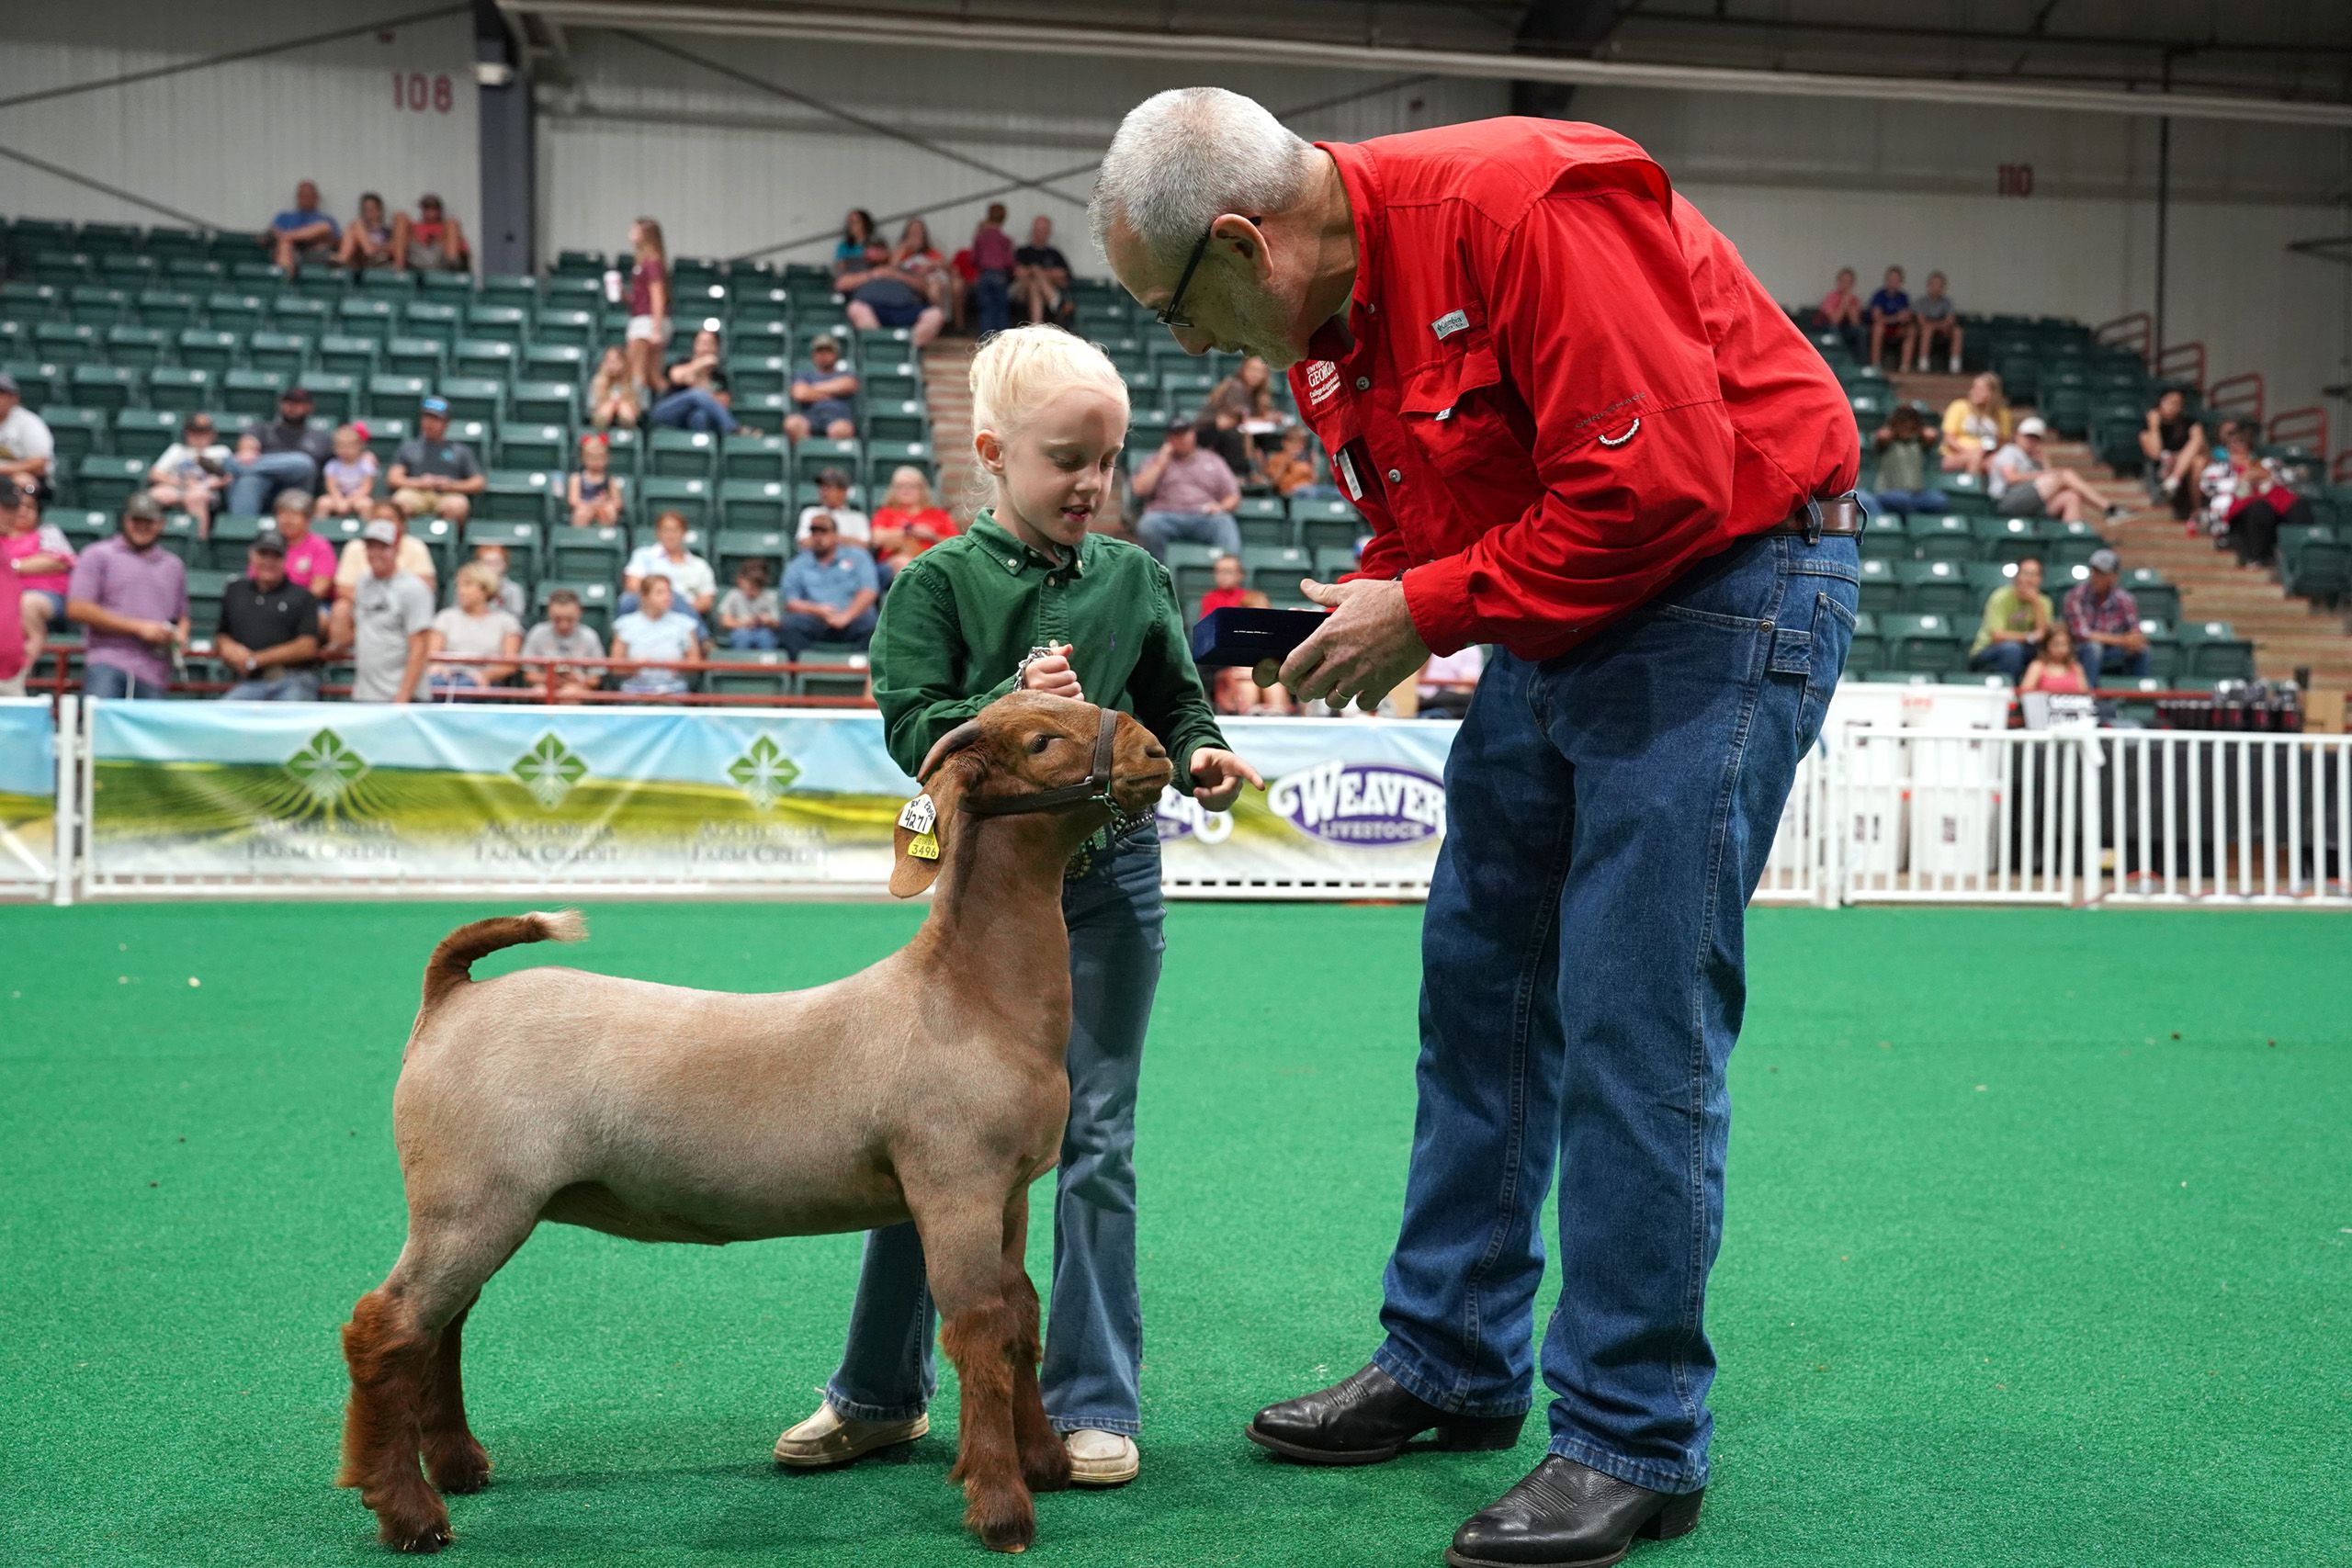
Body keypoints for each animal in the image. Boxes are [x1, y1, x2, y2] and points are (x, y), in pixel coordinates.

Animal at [335, 692, 1174, 1555]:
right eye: (1041, 741)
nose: (1154, 751)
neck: (969, 994)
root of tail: (453, 995)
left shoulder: (1008, 1192)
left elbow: (1021, 1317)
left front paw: (1043, 1461)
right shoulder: (955, 1184)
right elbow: (980, 1326)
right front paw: (1003, 1506)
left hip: (480, 1202)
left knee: (442, 1324)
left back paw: (458, 1464)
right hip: (470, 1196)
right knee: (386, 1326)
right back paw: (408, 1510)